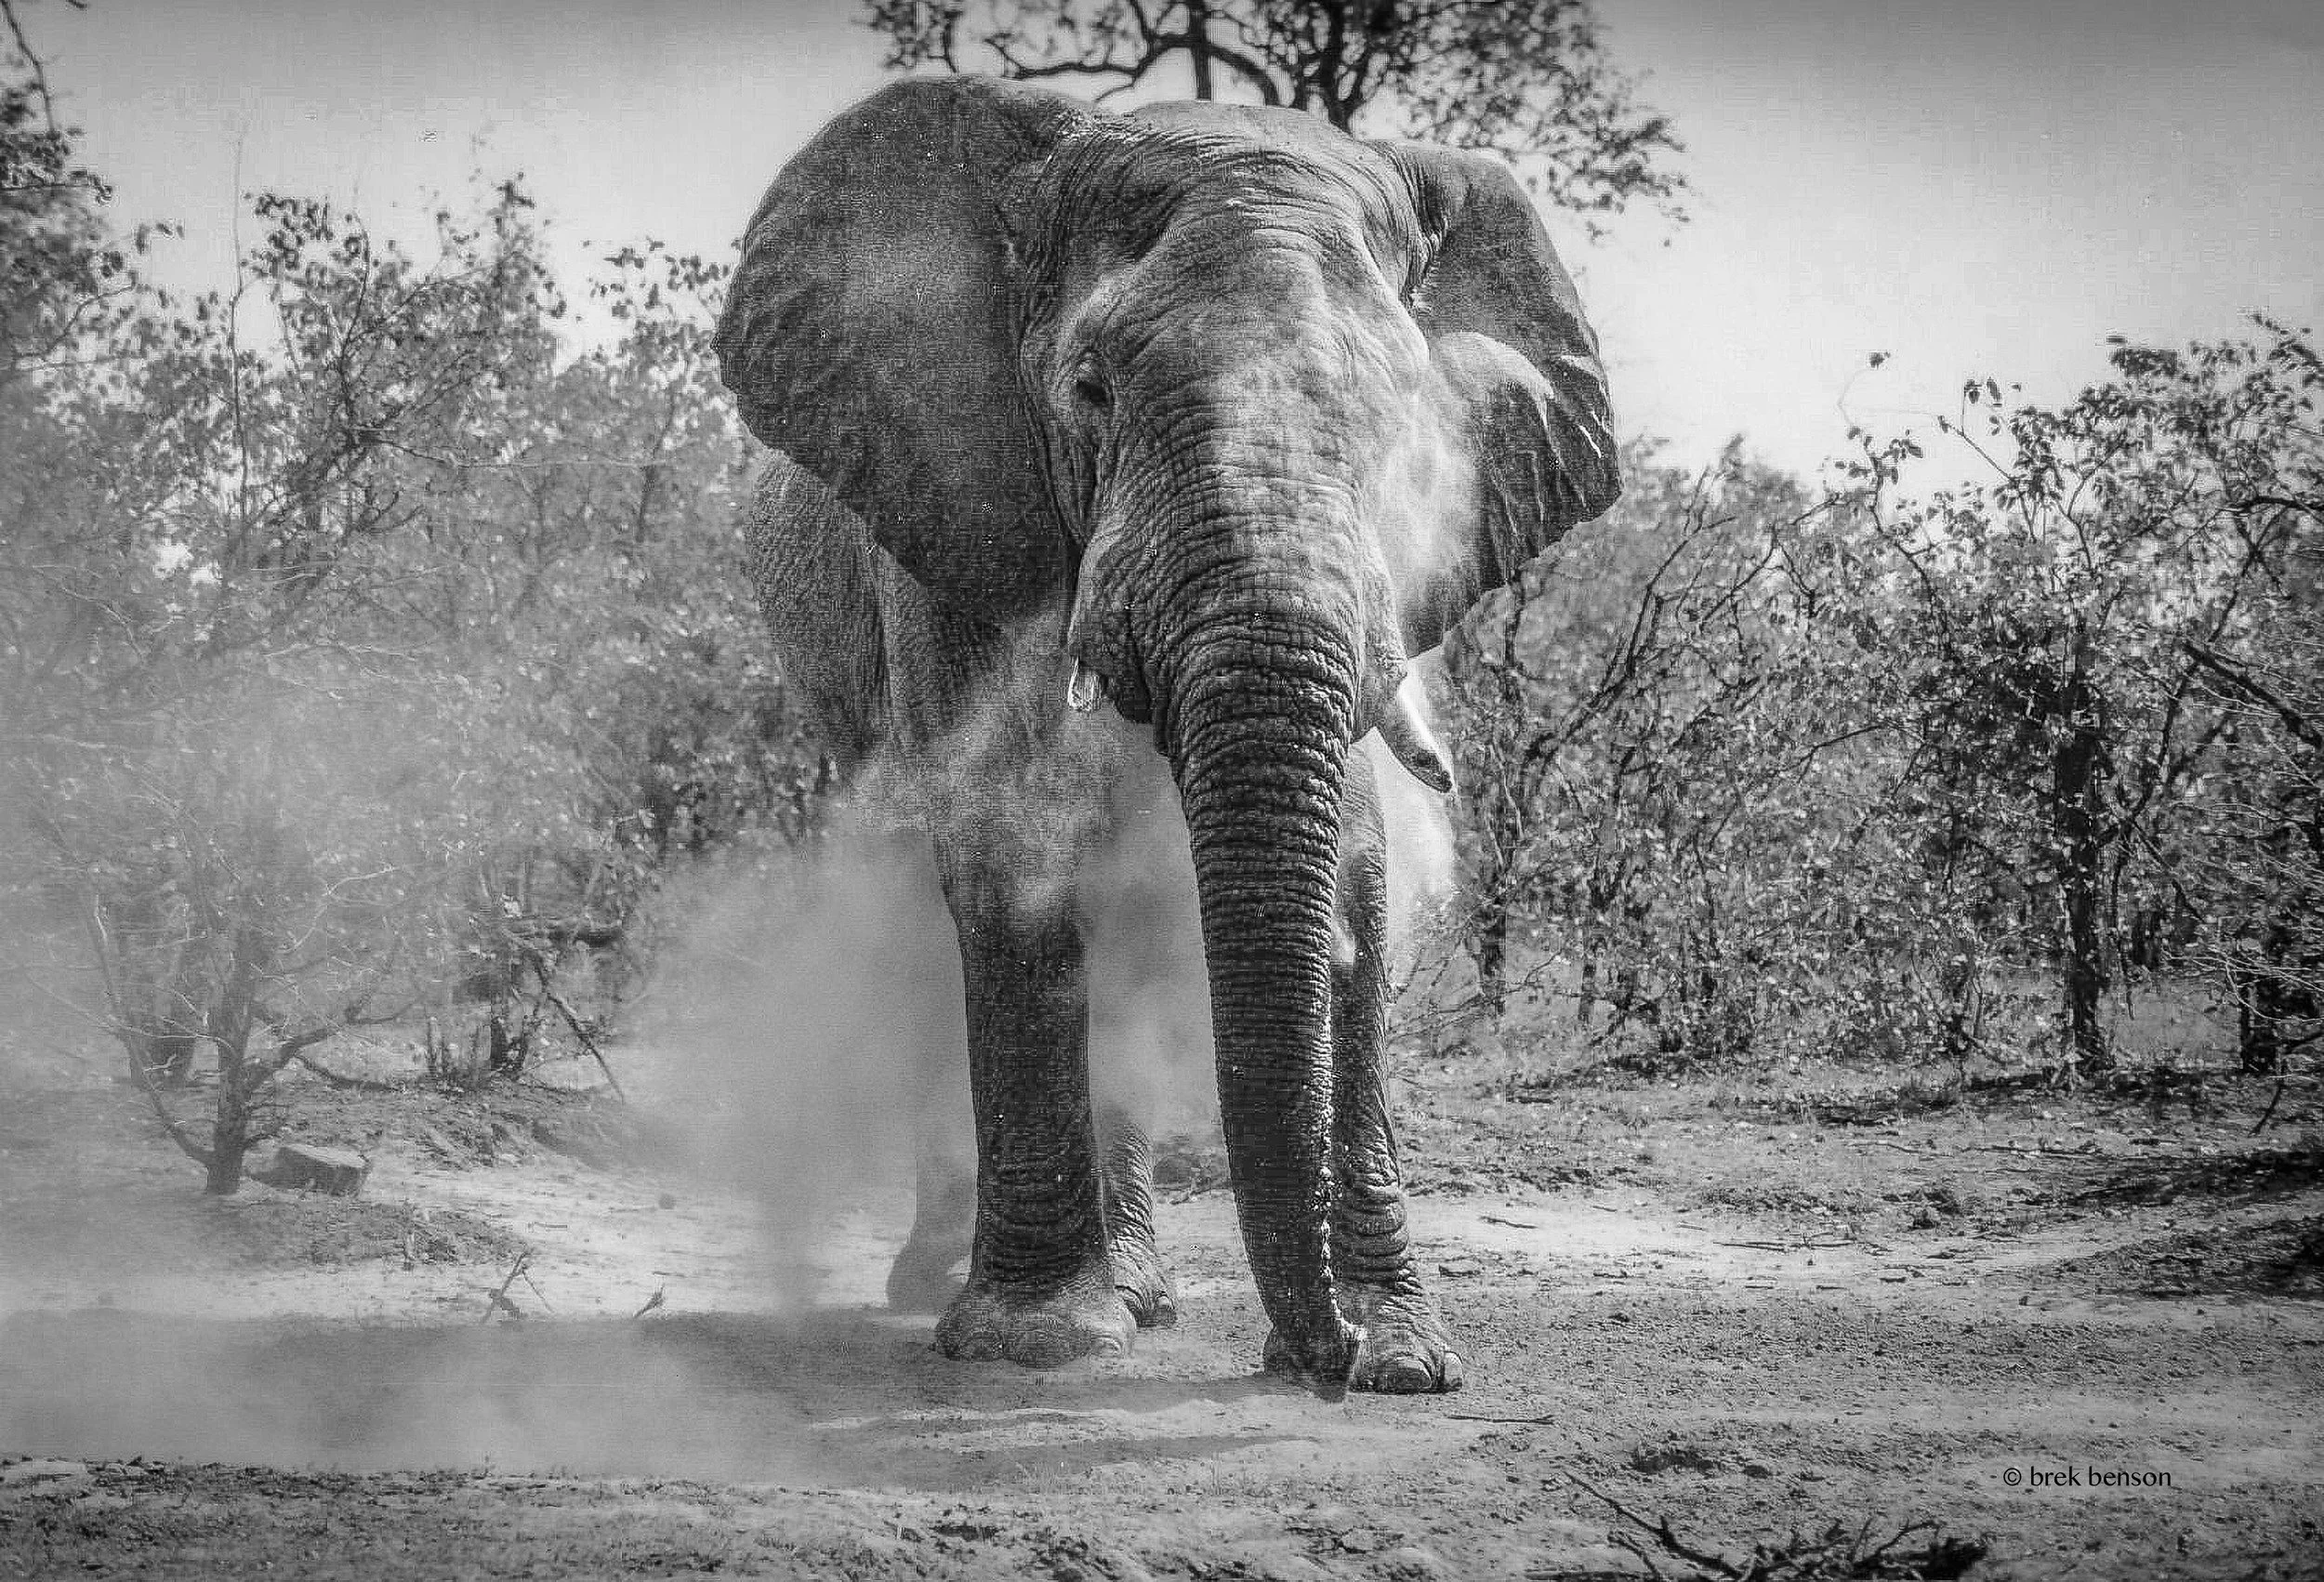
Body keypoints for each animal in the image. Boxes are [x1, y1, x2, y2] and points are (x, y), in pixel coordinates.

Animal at [714, 75, 1618, 1391]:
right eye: (1091, 389)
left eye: (1409, 420)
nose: (1319, 1357)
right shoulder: (950, 506)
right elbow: (1010, 850)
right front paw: (1035, 1345)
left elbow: (1355, 861)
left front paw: (1406, 1361)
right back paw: (942, 1281)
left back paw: (1141, 1294)